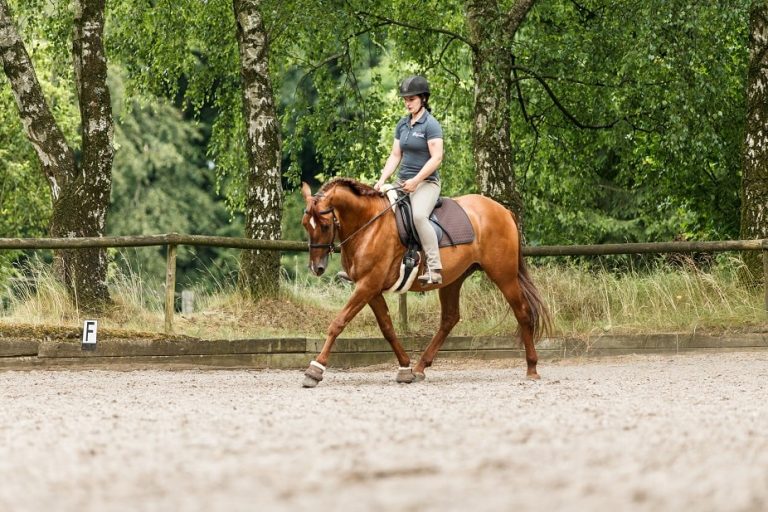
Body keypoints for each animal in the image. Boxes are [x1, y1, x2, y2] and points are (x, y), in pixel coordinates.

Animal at [300, 178, 552, 386]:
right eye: (305, 224)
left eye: (324, 225)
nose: (316, 268)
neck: (369, 224)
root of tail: (503, 210)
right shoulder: (371, 289)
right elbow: (388, 328)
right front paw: (405, 368)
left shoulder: (368, 285)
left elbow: (338, 322)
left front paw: (315, 370)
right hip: (453, 279)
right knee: (450, 318)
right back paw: (421, 367)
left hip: (503, 274)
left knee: (522, 312)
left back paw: (532, 368)